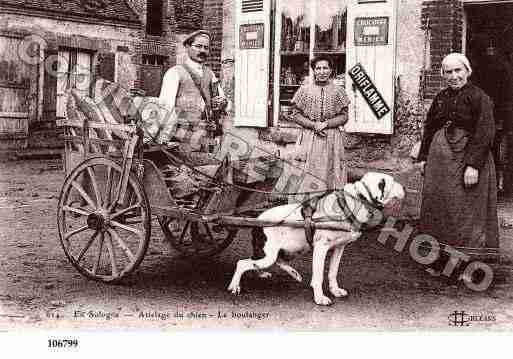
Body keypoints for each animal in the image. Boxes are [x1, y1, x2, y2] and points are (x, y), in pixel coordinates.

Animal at [227, 173, 404, 306]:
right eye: (392, 182)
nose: (404, 188)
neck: (353, 202)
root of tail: (257, 221)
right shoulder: (321, 248)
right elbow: (318, 277)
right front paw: (320, 298)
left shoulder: (339, 248)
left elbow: (332, 272)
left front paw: (335, 290)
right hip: (269, 254)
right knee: (243, 263)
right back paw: (235, 285)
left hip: (286, 250)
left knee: (271, 261)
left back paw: (286, 273)